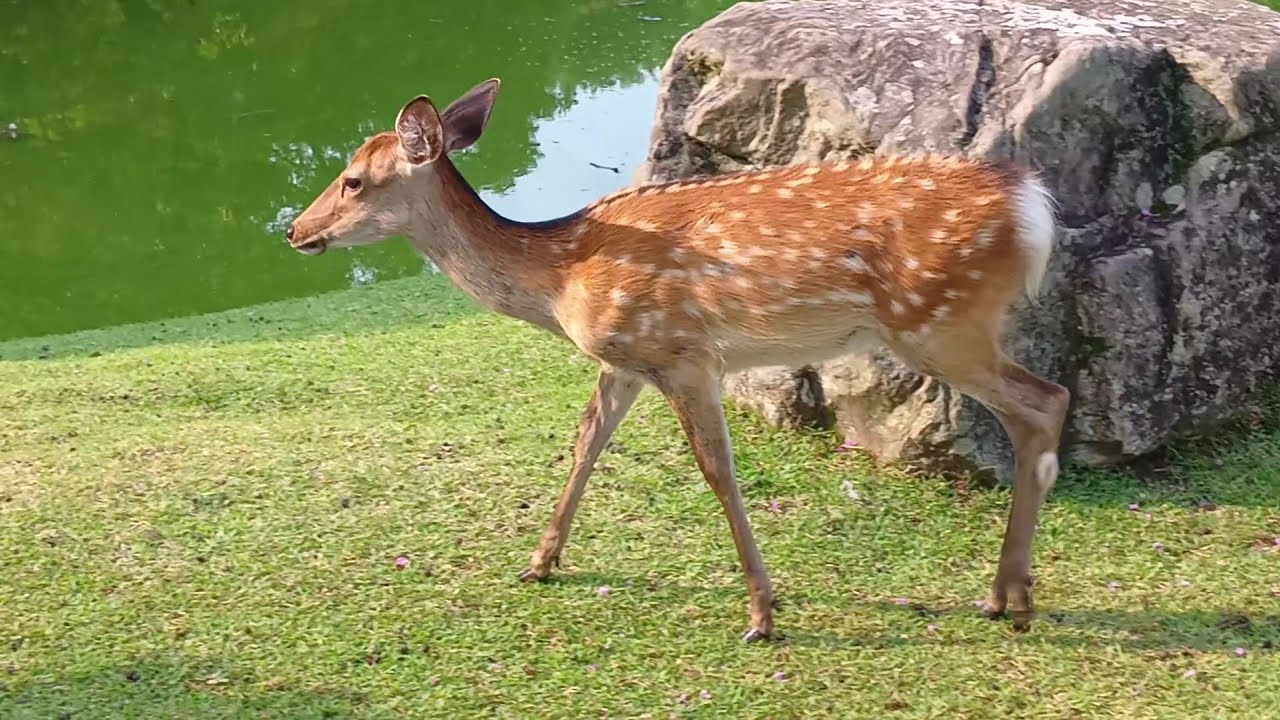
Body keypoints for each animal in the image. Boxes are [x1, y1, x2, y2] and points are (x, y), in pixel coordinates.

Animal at [285, 78, 1070, 642]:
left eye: (354, 180)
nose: (294, 230)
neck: (561, 277)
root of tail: (1032, 205)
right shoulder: (626, 358)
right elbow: (586, 440)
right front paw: (540, 562)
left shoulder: (684, 354)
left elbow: (717, 473)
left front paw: (762, 616)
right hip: (950, 326)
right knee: (1040, 407)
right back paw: (1006, 596)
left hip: (939, 322)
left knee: (1047, 400)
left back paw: (1010, 597)